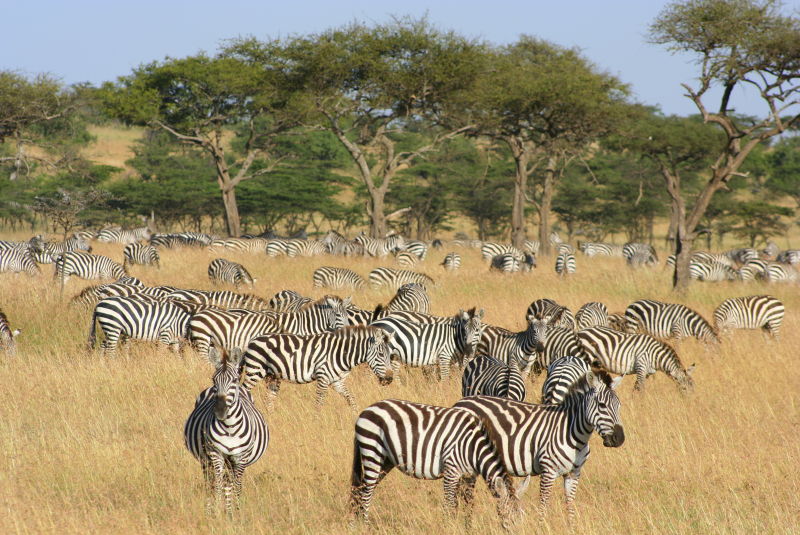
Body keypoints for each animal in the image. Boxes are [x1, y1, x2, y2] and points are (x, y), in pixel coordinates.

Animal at [184, 346, 268, 514]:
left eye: (234, 380)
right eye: (213, 379)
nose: (220, 411)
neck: (230, 427)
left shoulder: (241, 458)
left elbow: (236, 486)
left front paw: (237, 512)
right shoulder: (215, 454)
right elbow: (217, 485)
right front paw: (216, 513)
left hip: (231, 461)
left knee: (229, 483)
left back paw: (229, 513)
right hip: (207, 460)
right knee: (210, 483)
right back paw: (211, 511)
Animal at [241, 325, 394, 410]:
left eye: (390, 355)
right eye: (381, 354)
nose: (390, 379)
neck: (340, 353)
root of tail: (253, 340)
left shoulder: (337, 381)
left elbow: (351, 399)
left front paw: (355, 415)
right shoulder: (323, 378)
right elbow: (319, 404)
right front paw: (317, 422)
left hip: (272, 376)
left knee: (269, 400)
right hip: (255, 371)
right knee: (243, 390)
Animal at [350, 399, 521, 526]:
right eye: (512, 519)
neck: (473, 448)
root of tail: (367, 409)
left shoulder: (468, 475)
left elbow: (467, 503)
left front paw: (467, 527)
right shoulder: (451, 470)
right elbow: (449, 504)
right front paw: (449, 526)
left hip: (385, 460)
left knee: (361, 489)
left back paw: (357, 523)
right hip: (372, 450)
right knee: (366, 491)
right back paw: (365, 525)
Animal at [454, 370, 625, 521]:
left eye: (619, 405)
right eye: (602, 405)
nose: (619, 439)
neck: (573, 433)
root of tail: (461, 402)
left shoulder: (574, 473)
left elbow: (570, 507)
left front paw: (572, 527)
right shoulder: (548, 471)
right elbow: (543, 506)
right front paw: (542, 526)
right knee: (465, 495)